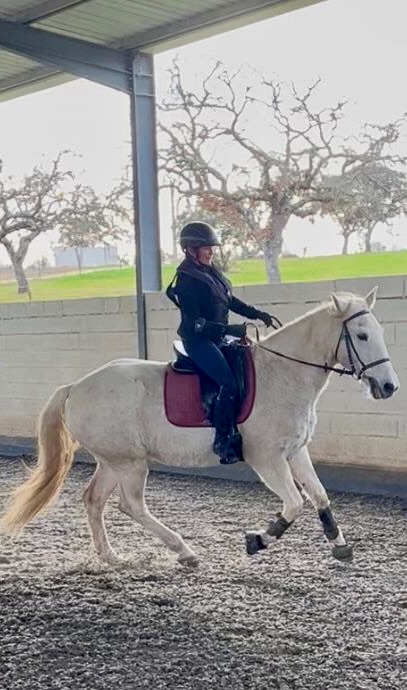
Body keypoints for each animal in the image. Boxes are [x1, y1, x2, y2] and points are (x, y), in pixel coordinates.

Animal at [1, 286, 400, 564]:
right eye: (361, 335)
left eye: (379, 331)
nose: (388, 387)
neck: (283, 374)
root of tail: (76, 387)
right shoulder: (267, 459)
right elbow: (293, 504)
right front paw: (258, 539)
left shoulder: (295, 451)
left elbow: (319, 496)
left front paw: (340, 546)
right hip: (129, 462)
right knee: (131, 505)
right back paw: (184, 551)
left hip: (112, 460)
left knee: (94, 500)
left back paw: (111, 556)